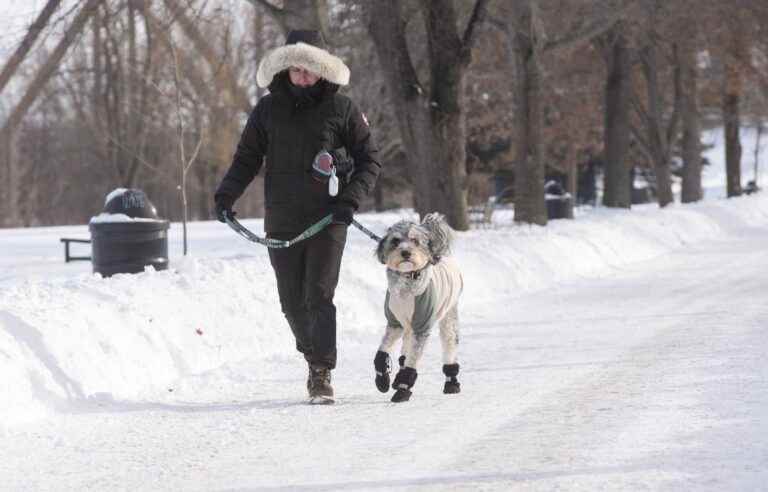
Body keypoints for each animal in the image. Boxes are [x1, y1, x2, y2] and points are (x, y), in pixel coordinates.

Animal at [372, 213, 462, 402]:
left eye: (414, 240)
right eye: (396, 241)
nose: (405, 252)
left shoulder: (422, 326)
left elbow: (412, 360)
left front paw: (403, 388)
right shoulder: (395, 323)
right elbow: (383, 350)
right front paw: (382, 377)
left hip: (447, 319)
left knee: (449, 347)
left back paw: (451, 383)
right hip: (407, 326)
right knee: (405, 351)